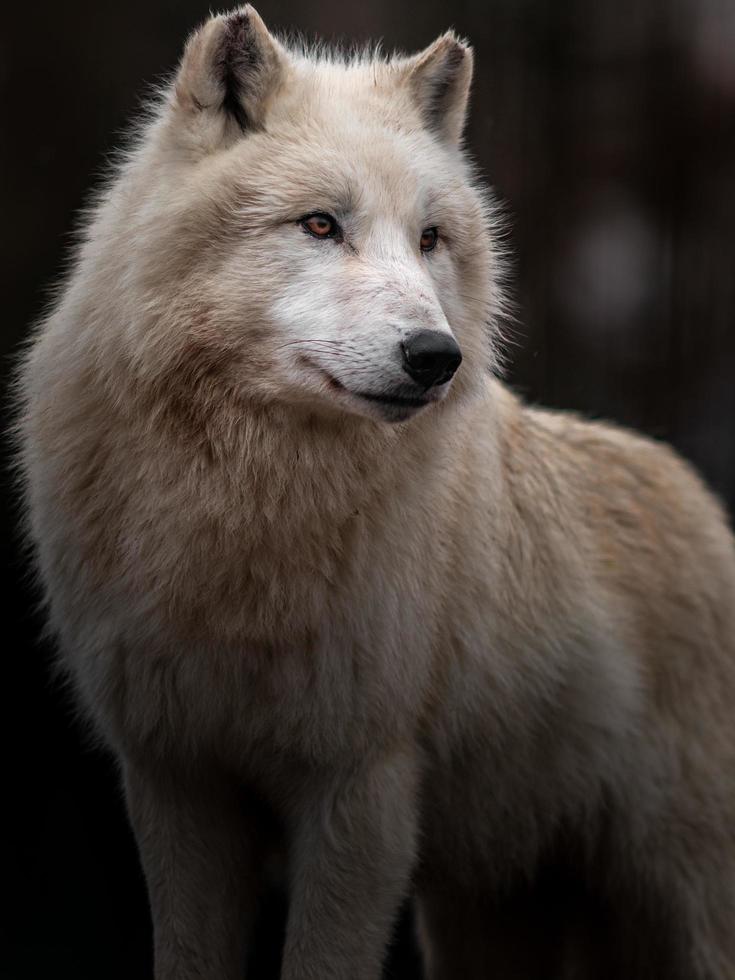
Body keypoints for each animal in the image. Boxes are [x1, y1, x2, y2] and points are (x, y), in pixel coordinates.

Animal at [14, 7, 735, 980]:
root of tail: (704, 504)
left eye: (429, 239)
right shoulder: (176, 787)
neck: (248, 500)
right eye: (320, 224)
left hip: (676, 906)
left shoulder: (361, 795)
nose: (435, 357)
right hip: (482, 912)